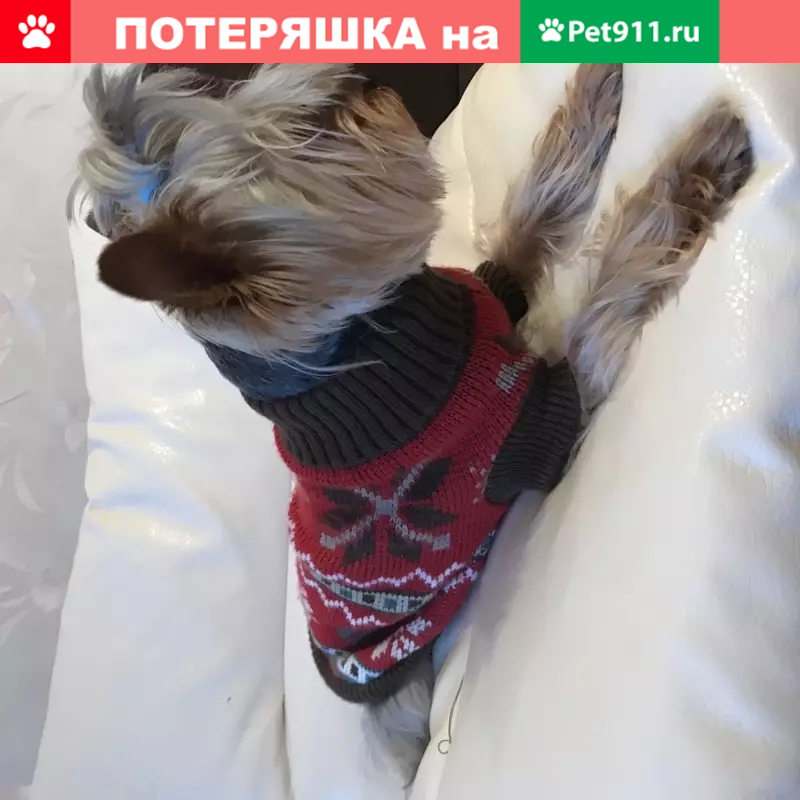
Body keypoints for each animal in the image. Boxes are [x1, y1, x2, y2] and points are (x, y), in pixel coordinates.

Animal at [73, 62, 753, 783]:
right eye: (311, 132)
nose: (360, 80)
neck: (356, 349)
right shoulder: (546, 423)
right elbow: (606, 297)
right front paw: (702, 160)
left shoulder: (499, 285)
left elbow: (532, 210)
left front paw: (596, 93)